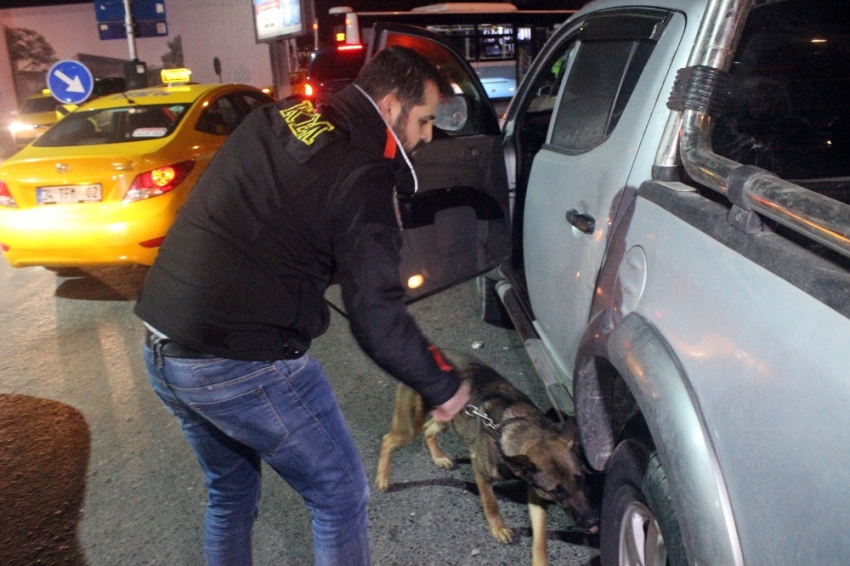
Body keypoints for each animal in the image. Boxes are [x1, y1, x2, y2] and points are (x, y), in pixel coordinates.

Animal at [374, 350, 600, 566]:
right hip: (409, 428)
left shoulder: (534, 491)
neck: (525, 431)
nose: (592, 522)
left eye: (581, 479)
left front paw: (539, 560)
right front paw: (498, 527)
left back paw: (438, 457)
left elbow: (540, 535)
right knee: (388, 440)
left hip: (447, 418)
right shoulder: (481, 472)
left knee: (428, 430)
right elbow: (490, 503)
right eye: (557, 491)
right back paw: (382, 477)